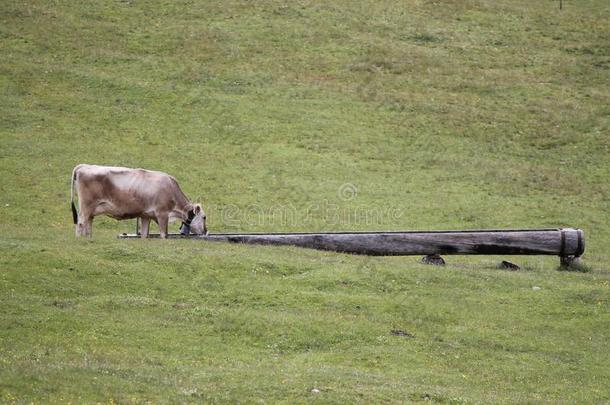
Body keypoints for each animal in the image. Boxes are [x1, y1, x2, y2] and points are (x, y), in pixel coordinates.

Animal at [71, 163, 207, 237]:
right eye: (204, 217)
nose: (206, 231)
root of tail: (84, 166)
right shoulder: (162, 214)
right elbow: (164, 235)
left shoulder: (145, 215)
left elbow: (144, 234)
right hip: (85, 206)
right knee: (81, 223)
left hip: (91, 210)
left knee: (88, 224)